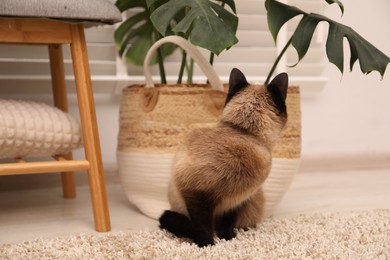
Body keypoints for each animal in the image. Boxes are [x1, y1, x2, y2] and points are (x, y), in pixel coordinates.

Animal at [158, 68, 290, 247]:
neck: (243, 133)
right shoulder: (195, 192)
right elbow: (202, 226)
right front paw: (208, 244)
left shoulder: (237, 201)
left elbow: (227, 223)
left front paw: (228, 239)